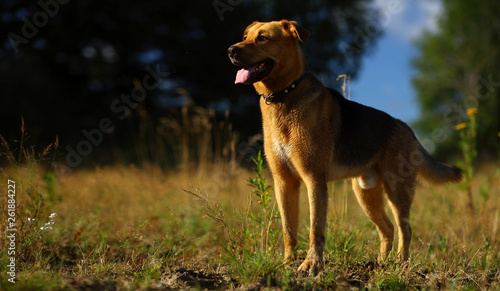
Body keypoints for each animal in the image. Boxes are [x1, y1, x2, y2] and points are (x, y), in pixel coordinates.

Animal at [227, 20, 460, 276]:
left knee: (404, 229)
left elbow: (315, 229)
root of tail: (406, 128)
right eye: (245, 37)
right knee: (387, 229)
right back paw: (380, 264)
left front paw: (311, 265)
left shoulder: (314, 179)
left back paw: (401, 265)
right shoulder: (284, 182)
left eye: (262, 38)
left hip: (397, 191)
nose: (230, 50)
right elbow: (289, 230)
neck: (284, 96)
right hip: (366, 194)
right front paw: (288, 263)